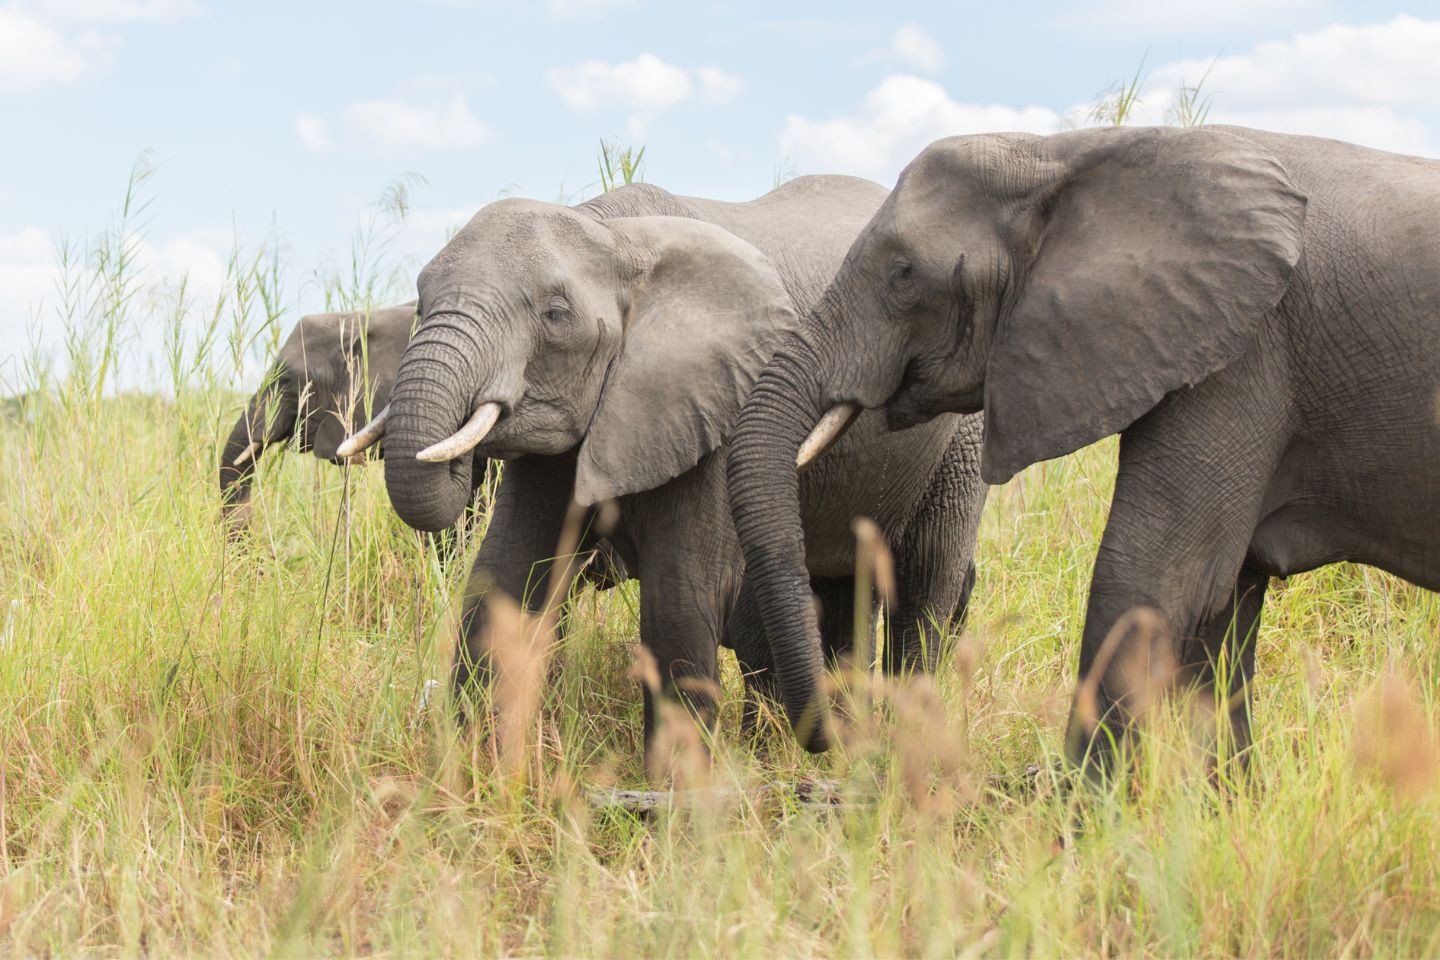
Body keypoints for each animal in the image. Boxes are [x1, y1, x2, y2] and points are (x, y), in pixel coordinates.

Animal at [345, 176, 990, 754]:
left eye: (555, 314)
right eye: (421, 302)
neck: (611, 235)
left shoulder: (721, 403)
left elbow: (680, 595)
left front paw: (678, 797)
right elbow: (505, 575)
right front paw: (478, 778)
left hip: (962, 437)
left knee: (925, 585)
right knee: (843, 591)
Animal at [725, 125, 1440, 771]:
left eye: (903, 274)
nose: (830, 744)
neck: (1061, 154)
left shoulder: (1242, 356)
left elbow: (1149, 578)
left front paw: (1084, 818)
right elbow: (1222, 599)